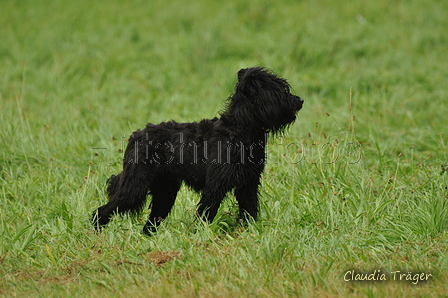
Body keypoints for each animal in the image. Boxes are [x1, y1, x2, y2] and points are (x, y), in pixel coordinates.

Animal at [93, 67, 304, 235]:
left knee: (149, 224)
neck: (239, 130)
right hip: (134, 188)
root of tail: (136, 135)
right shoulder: (215, 187)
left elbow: (249, 211)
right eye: (280, 91)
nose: (300, 100)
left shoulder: (248, 185)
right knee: (101, 211)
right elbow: (206, 214)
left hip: (164, 193)